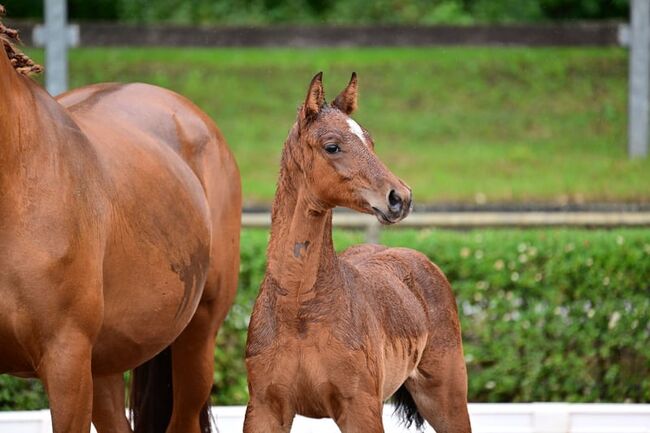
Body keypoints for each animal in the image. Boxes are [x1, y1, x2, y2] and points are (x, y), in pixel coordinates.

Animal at [243, 72, 470, 430]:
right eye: (332, 146)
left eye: (371, 142)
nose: (399, 197)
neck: (299, 311)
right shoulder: (264, 408)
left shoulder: (360, 408)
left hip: (446, 399)